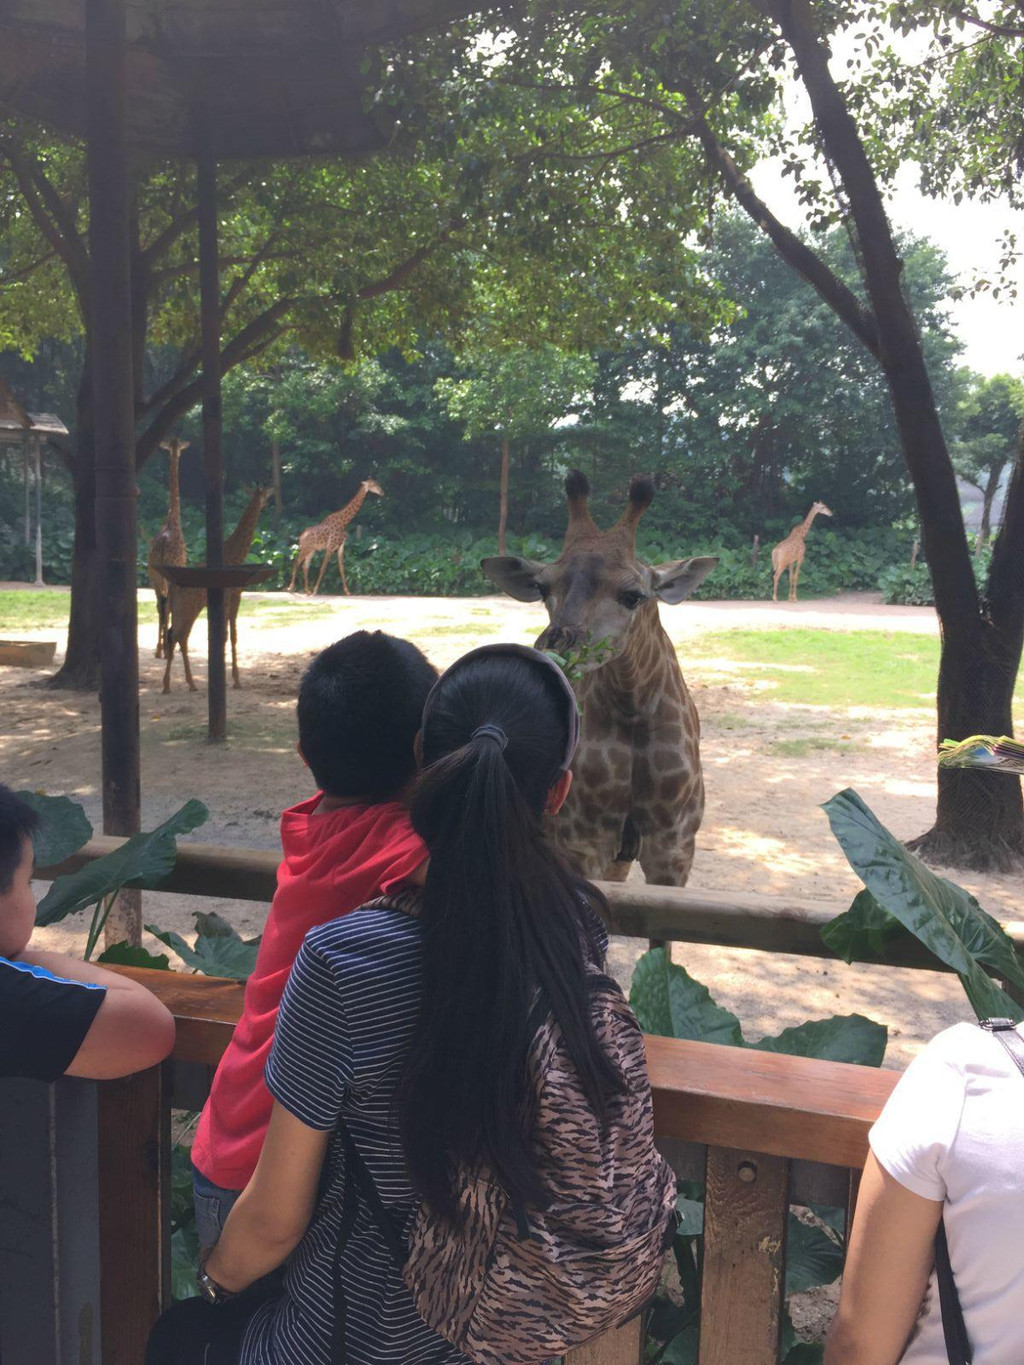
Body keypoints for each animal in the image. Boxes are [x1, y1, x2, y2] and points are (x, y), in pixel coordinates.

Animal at [162, 485, 273, 693]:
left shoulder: (232, 597)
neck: (235, 555)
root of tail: (172, 588)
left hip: (183, 608)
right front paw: (235, 680)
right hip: (187, 607)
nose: (266, 504)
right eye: (264, 494)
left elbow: (230, 635)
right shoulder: (231, 596)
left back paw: (188, 683)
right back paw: (170, 685)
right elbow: (228, 636)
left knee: (178, 636)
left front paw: (233, 679)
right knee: (177, 635)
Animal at [486, 475, 715, 889]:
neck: (632, 706)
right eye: (543, 589)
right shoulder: (580, 843)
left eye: (634, 596)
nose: (554, 649)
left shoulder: (673, 848)